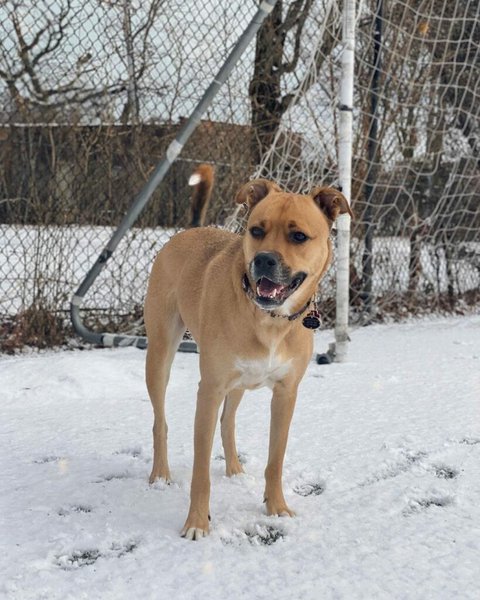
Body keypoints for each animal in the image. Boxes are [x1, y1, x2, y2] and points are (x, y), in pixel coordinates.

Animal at [144, 175, 350, 540]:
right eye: (256, 230)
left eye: (299, 236)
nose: (264, 260)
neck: (269, 319)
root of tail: (188, 231)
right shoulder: (209, 390)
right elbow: (200, 471)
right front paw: (197, 523)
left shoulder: (286, 393)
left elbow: (275, 459)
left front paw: (276, 507)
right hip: (160, 354)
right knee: (160, 422)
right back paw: (160, 474)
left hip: (239, 383)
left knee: (228, 422)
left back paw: (234, 467)